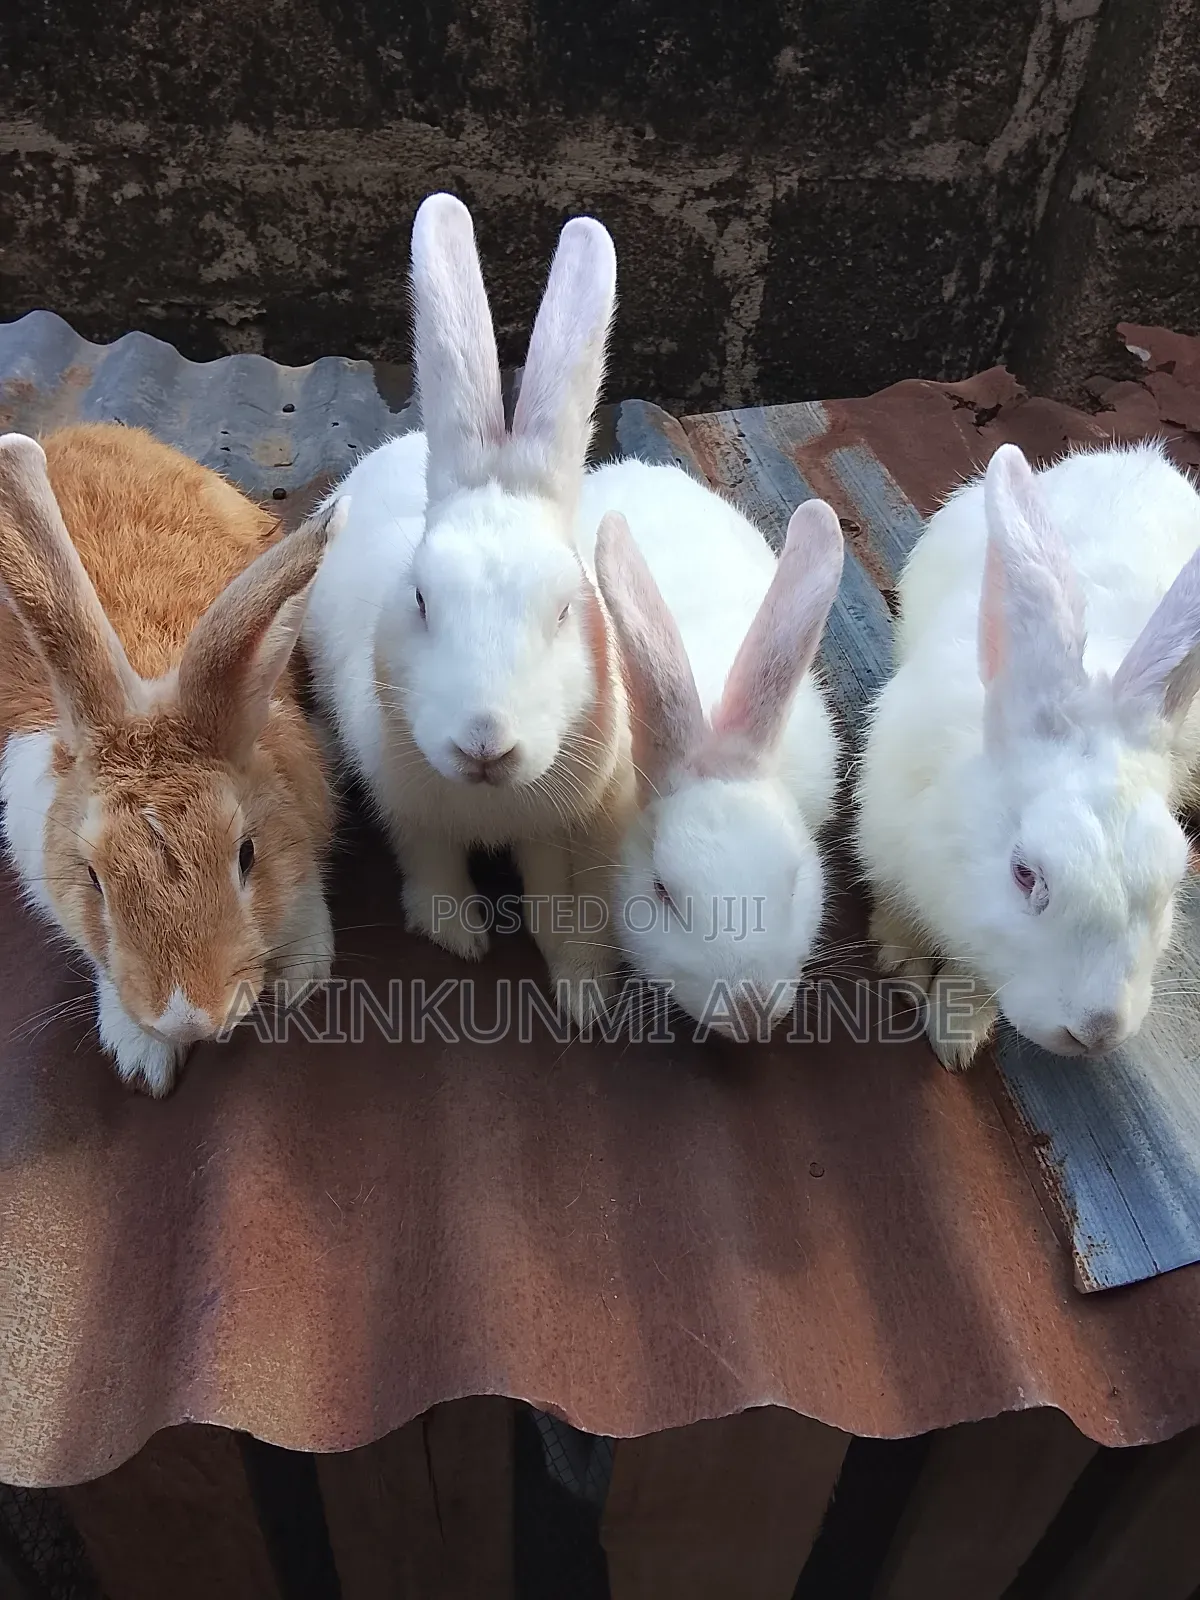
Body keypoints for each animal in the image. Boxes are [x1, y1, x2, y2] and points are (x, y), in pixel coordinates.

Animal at [303, 193, 633, 1022]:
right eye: (422, 599)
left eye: (565, 610)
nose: (486, 744)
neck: (489, 805)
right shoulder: (412, 815)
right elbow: (433, 868)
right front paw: (460, 934)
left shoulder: (551, 826)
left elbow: (549, 889)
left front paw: (580, 986)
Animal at [854, 437, 1200, 1071]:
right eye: (1024, 875)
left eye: (1170, 883)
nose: (1097, 1029)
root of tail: (1144, 459)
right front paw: (903, 963)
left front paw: (957, 1030)